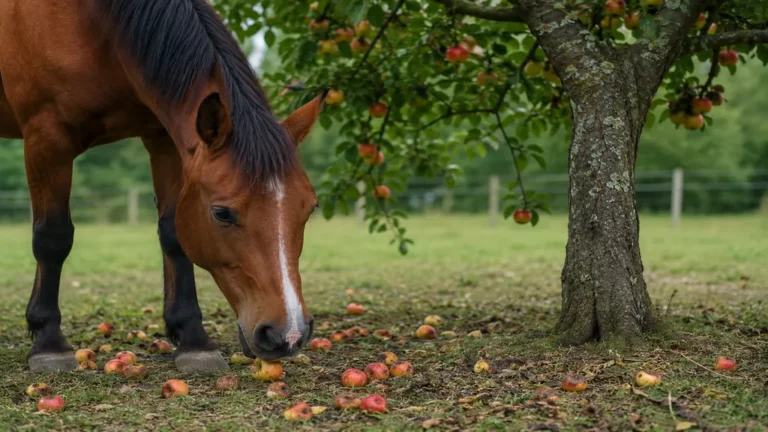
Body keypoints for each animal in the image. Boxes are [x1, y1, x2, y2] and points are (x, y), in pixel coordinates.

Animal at [0, 0, 324, 373]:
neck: (93, 23)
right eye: (222, 213)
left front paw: (193, 339)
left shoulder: (164, 138)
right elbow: (52, 238)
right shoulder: (46, 138)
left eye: (309, 208)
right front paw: (49, 343)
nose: (289, 334)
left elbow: (172, 235)